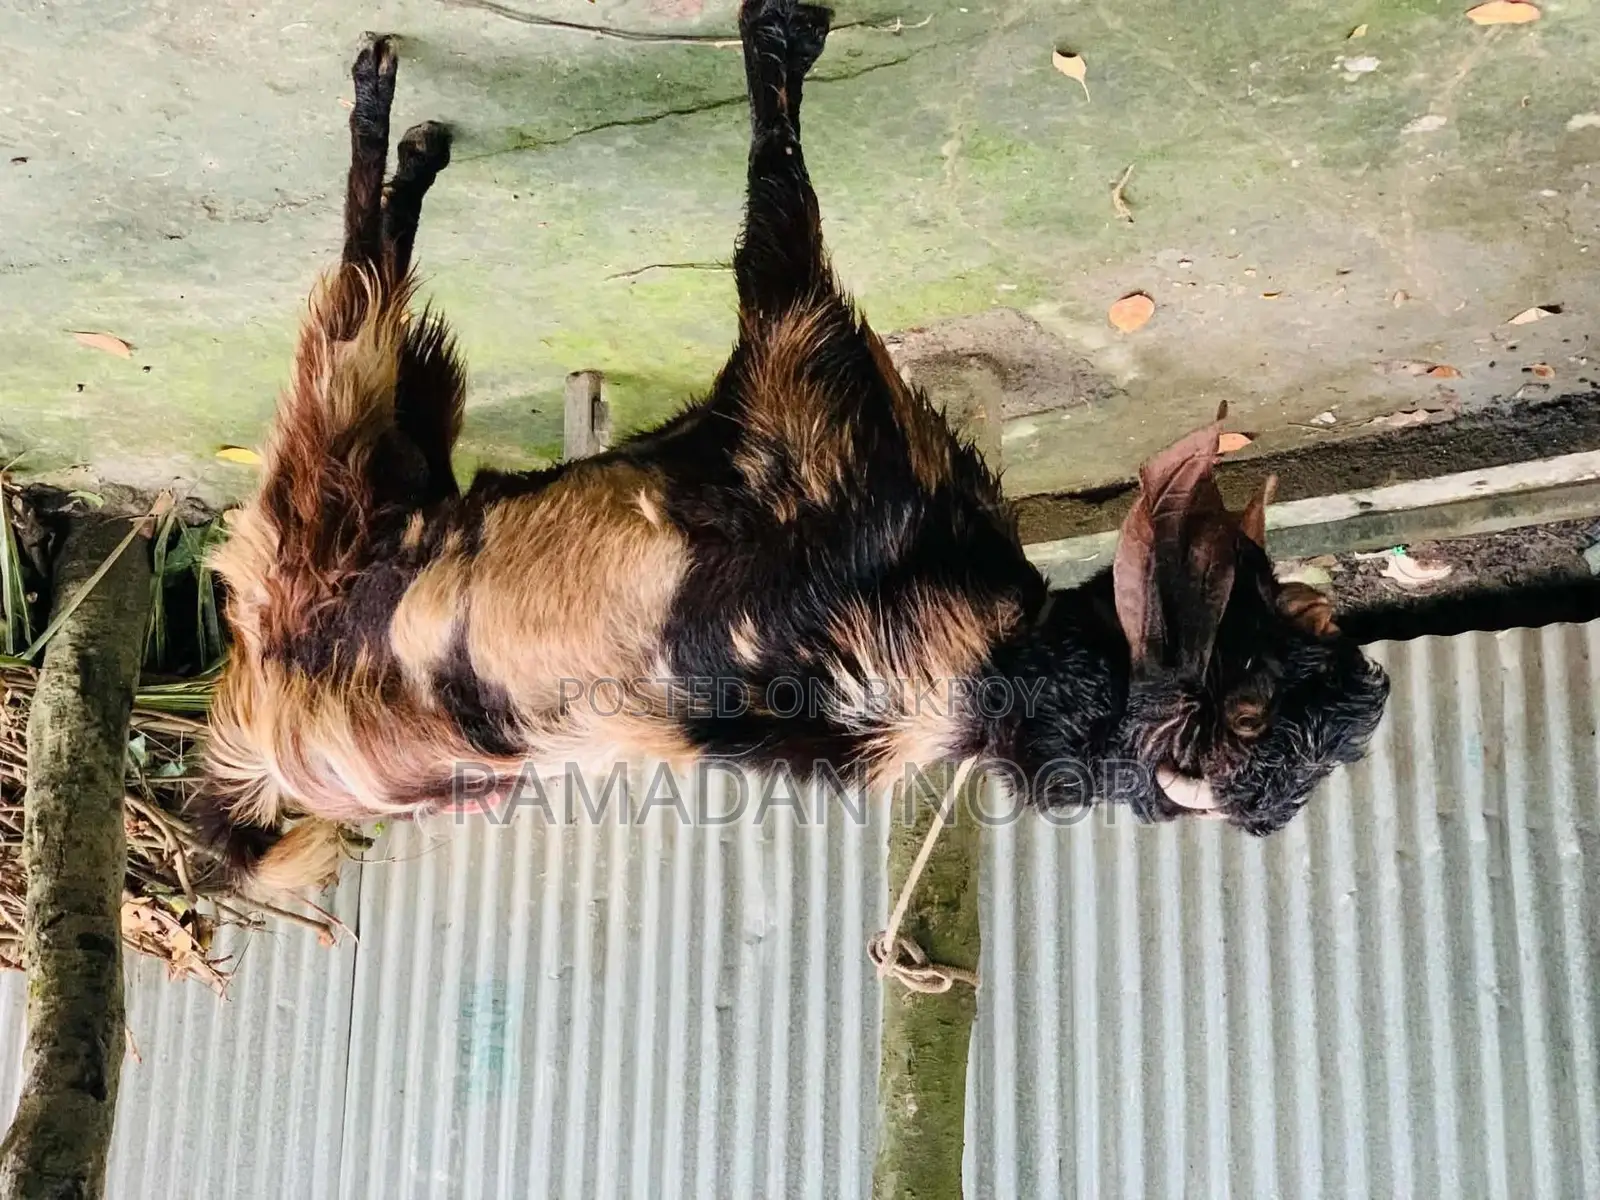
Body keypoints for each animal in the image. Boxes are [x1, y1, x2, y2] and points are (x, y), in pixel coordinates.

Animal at [196, 5, 1389, 893]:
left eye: (1250, 712)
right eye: (1262, 679)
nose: (1373, 690)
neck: (992, 669)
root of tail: (257, 713)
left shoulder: (795, 361)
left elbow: (775, 217)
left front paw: (777, 36)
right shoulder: (802, 373)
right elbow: (779, 214)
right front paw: (780, 37)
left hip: (331, 459)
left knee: (358, 286)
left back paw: (390, 119)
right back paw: (401, 130)